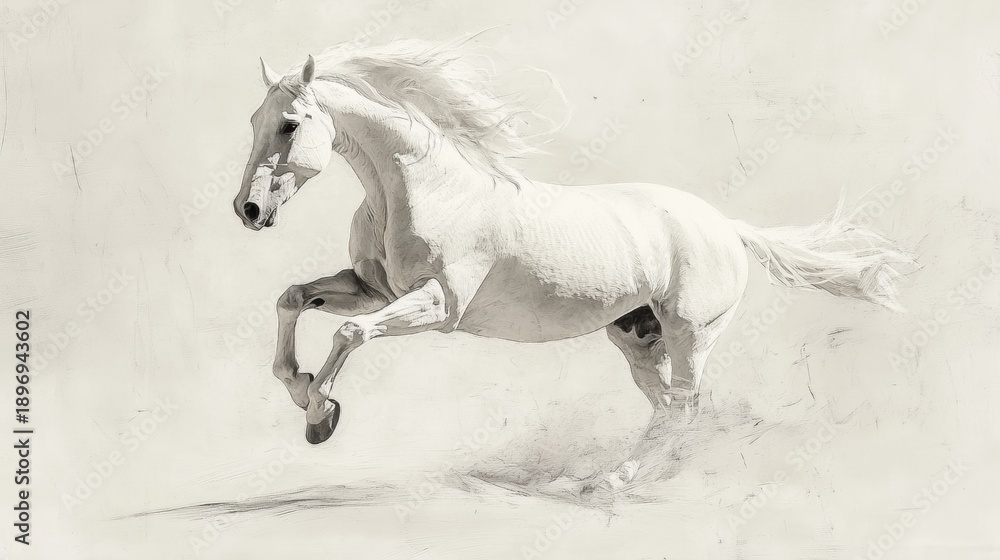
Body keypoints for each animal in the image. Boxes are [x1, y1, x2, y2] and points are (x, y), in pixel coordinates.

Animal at [232, 39, 909, 488]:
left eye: (289, 124)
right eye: (254, 120)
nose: (248, 209)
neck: (426, 188)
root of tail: (727, 228)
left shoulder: (439, 305)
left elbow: (349, 331)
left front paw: (320, 414)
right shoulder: (373, 289)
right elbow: (293, 298)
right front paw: (299, 386)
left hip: (691, 334)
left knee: (685, 406)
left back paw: (621, 482)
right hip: (636, 338)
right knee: (666, 408)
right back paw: (614, 478)